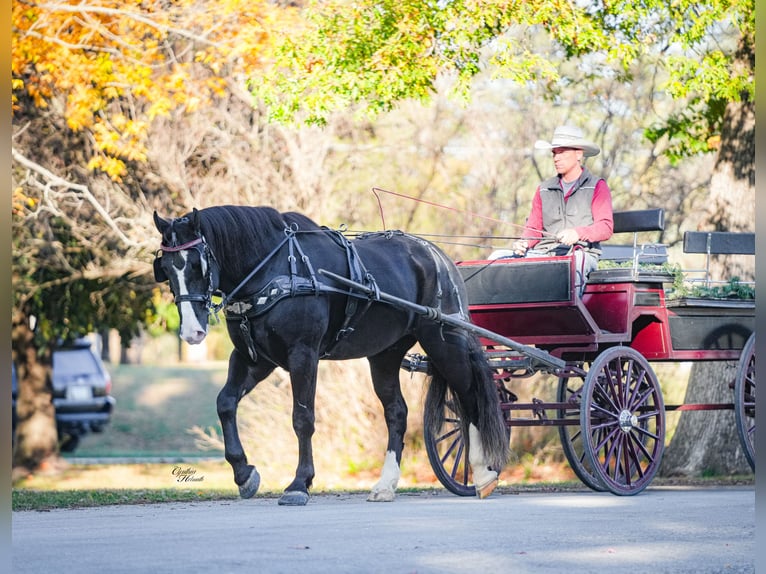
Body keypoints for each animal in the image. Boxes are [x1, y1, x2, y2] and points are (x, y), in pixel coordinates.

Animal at [153, 205, 509, 505]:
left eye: (197, 264)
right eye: (167, 268)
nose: (191, 332)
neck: (271, 268)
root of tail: (437, 256)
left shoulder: (303, 354)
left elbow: (302, 418)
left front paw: (299, 483)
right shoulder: (254, 358)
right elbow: (225, 403)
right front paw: (244, 474)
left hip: (444, 342)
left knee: (469, 399)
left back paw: (483, 474)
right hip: (385, 354)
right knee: (397, 412)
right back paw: (386, 484)